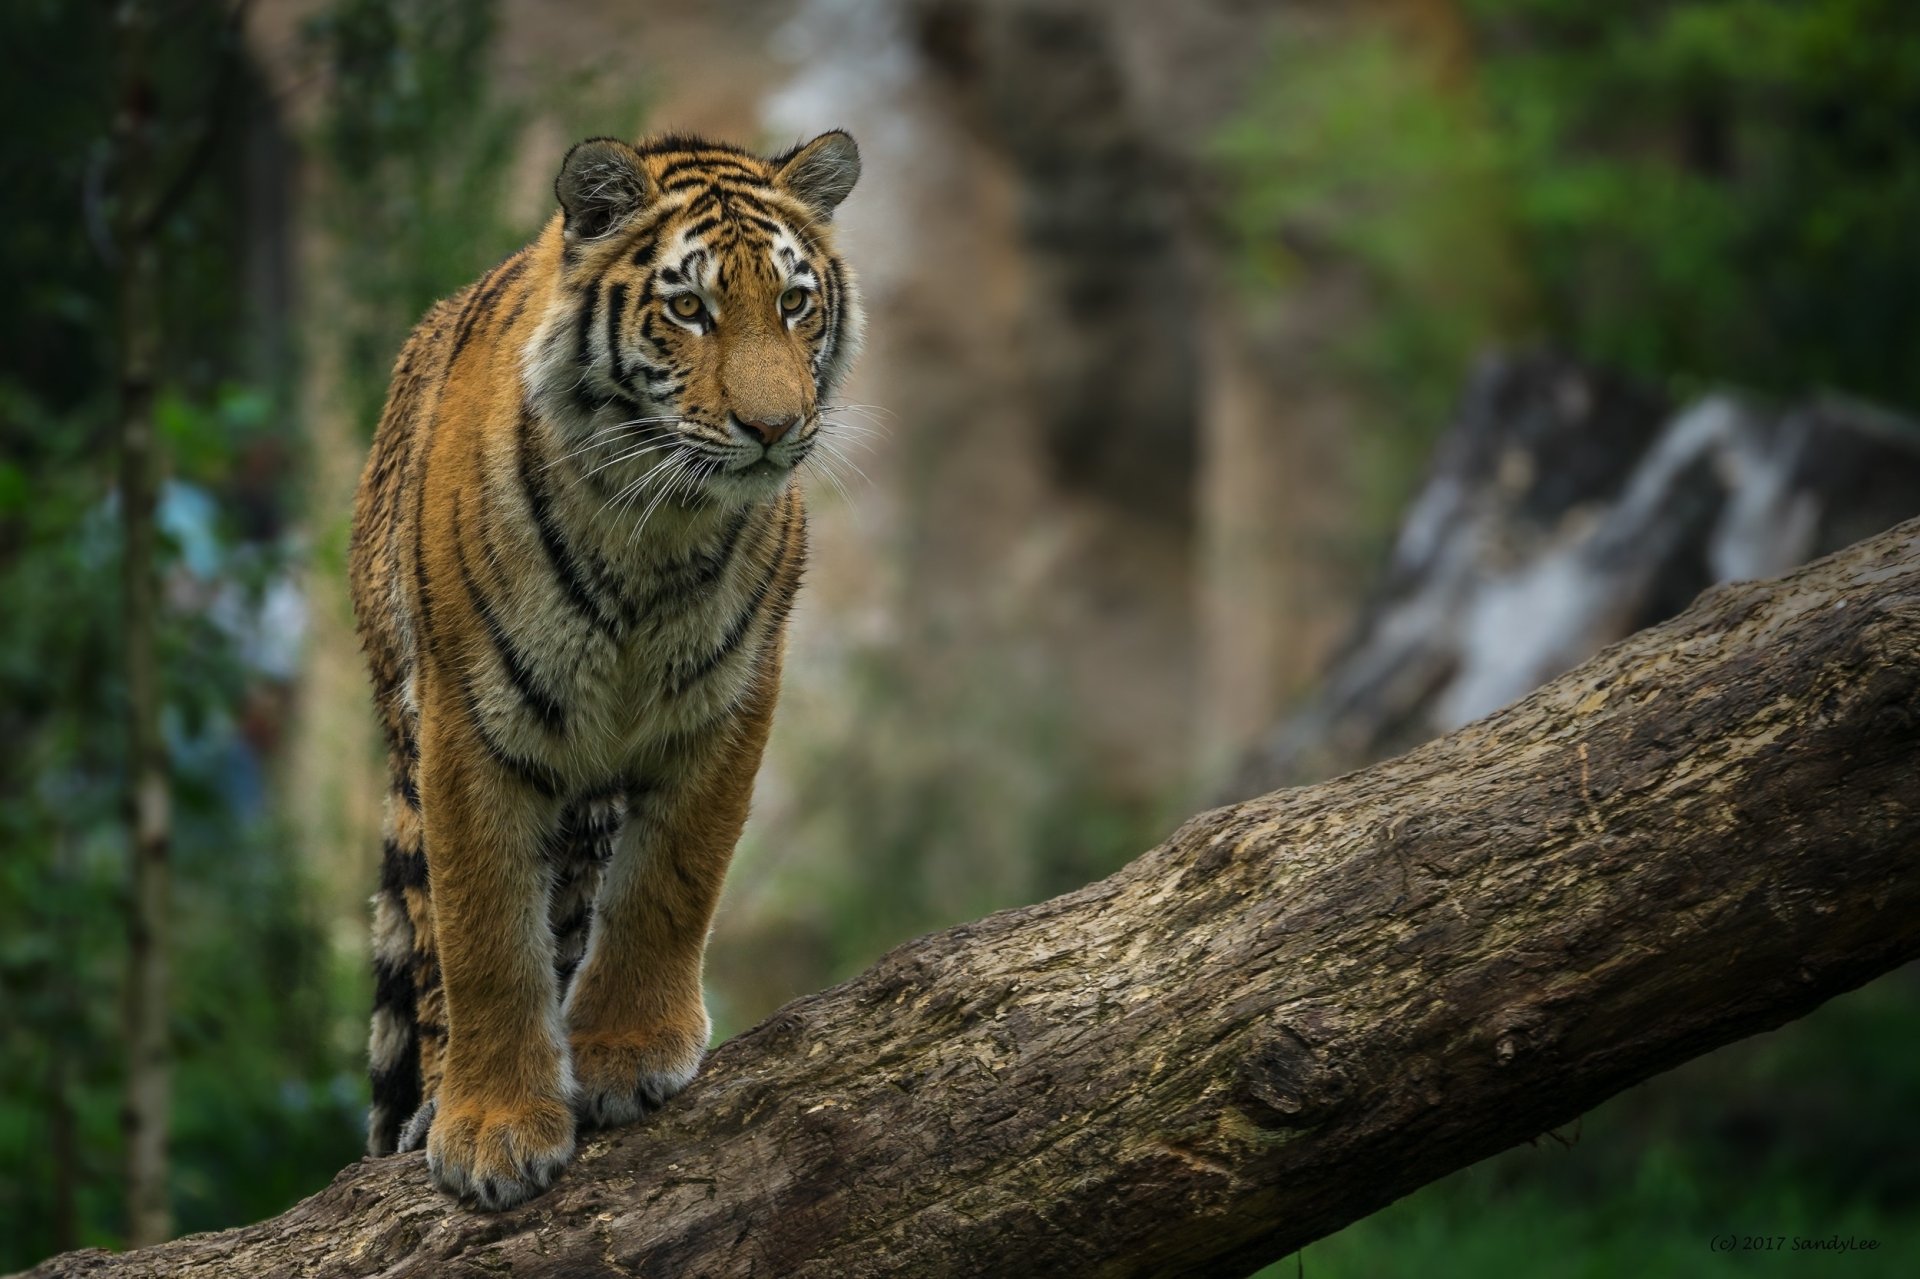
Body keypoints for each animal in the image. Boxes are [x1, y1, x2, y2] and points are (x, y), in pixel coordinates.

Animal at [347, 130, 864, 1210]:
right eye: (690, 308)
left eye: (795, 303)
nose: (773, 427)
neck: (653, 529)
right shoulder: (470, 724)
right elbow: (484, 934)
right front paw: (492, 1132)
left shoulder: (729, 701)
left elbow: (669, 881)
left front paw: (626, 1055)